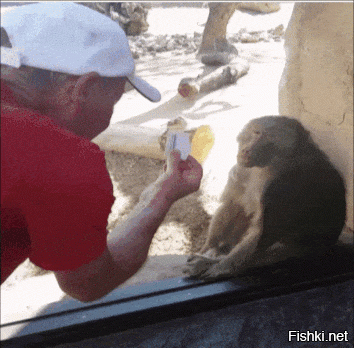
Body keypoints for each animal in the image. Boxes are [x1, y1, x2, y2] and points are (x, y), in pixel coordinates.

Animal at [185, 116, 346, 280]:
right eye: (257, 133)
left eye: (269, 140)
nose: (248, 150)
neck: (267, 166)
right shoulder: (244, 170)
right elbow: (234, 204)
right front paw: (209, 246)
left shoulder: (282, 187)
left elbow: (261, 235)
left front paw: (219, 266)